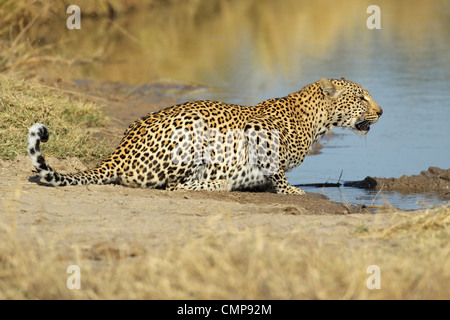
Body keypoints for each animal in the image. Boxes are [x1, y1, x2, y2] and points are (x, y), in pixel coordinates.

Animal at [27, 77, 380, 195]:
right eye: (362, 97)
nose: (381, 111)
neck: (315, 121)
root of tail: (118, 152)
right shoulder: (258, 131)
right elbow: (276, 169)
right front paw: (289, 190)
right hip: (191, 135)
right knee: (173, 186)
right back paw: (220, 183)